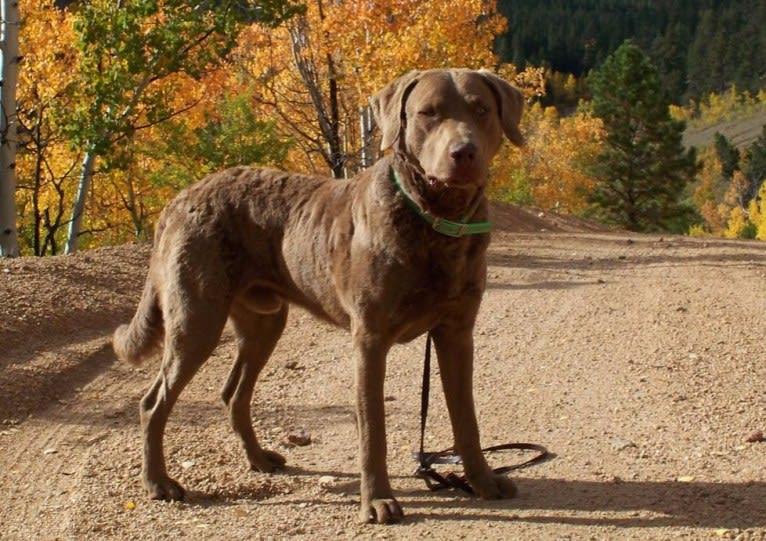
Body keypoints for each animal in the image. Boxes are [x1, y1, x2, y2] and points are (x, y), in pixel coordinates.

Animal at [111, 65, 524, 520]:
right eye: (428, 113)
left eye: (481, 109)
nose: (463, 152)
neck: (436, 222)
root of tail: (179, 198)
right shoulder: (370, 339)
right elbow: (373, 429)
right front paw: (378, 499)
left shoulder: (457, 334)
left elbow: (466, 418)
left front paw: (483, 482)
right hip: (197, 318)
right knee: (154, 402)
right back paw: (158, 483)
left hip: (264, 321)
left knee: (234, 392)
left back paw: (258, 458)